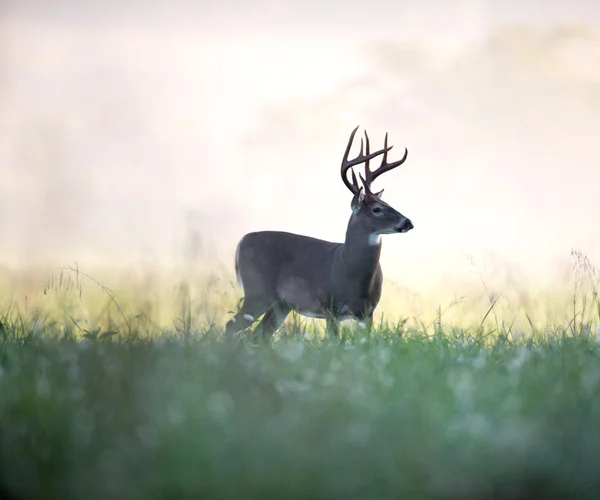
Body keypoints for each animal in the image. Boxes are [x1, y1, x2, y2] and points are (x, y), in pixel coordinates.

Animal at [225, 127, 412, 342]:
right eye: (377, 209)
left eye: (388, 203)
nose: (408, 222)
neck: (351, 272)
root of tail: (243, 240)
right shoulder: (330, 305)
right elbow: (334, 341)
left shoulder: (368, 312)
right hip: (257, 291)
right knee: (232, 326)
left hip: (281, 303)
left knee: (260, 333)